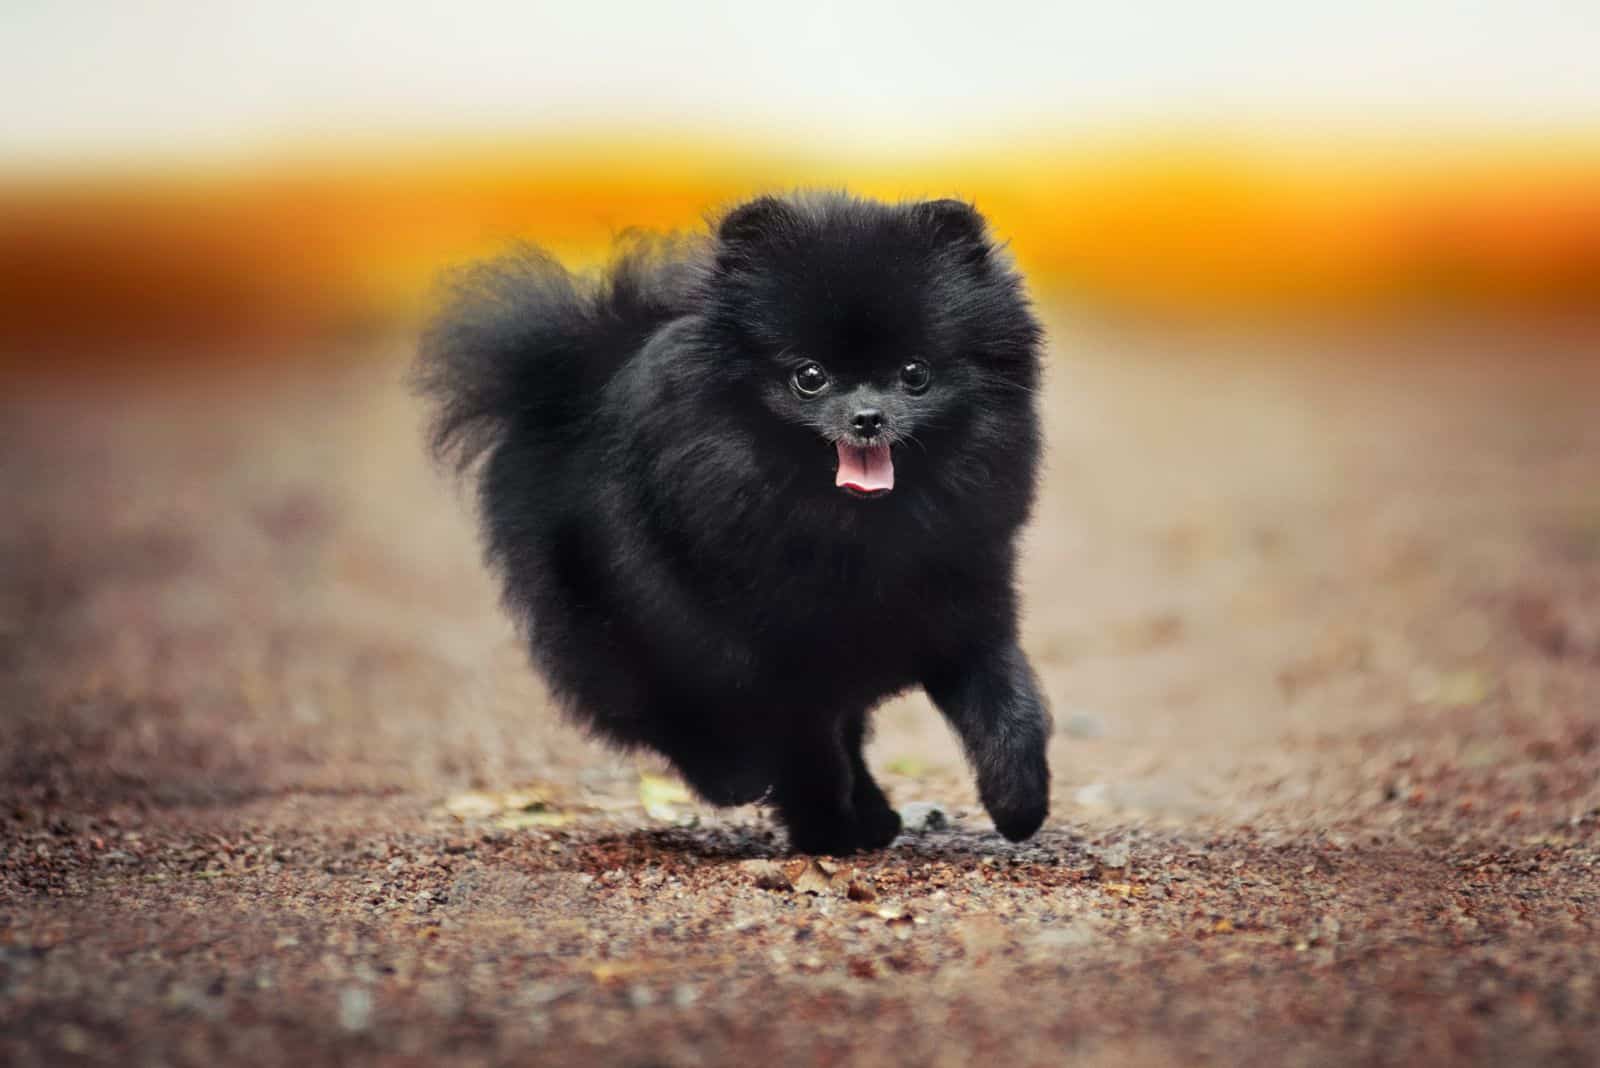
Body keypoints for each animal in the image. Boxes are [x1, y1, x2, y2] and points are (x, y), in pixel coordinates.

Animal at [419, 187, 1056, 844]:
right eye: (809, 376)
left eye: (915, 373)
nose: (868, 417)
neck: (855, 530)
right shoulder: (771, 653)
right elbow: (808, 747)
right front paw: (826, 829)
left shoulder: (965, 607)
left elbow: (1010, 705)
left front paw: (1018, 802)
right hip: (627, 619)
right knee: (669, 708)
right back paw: (736, 778)